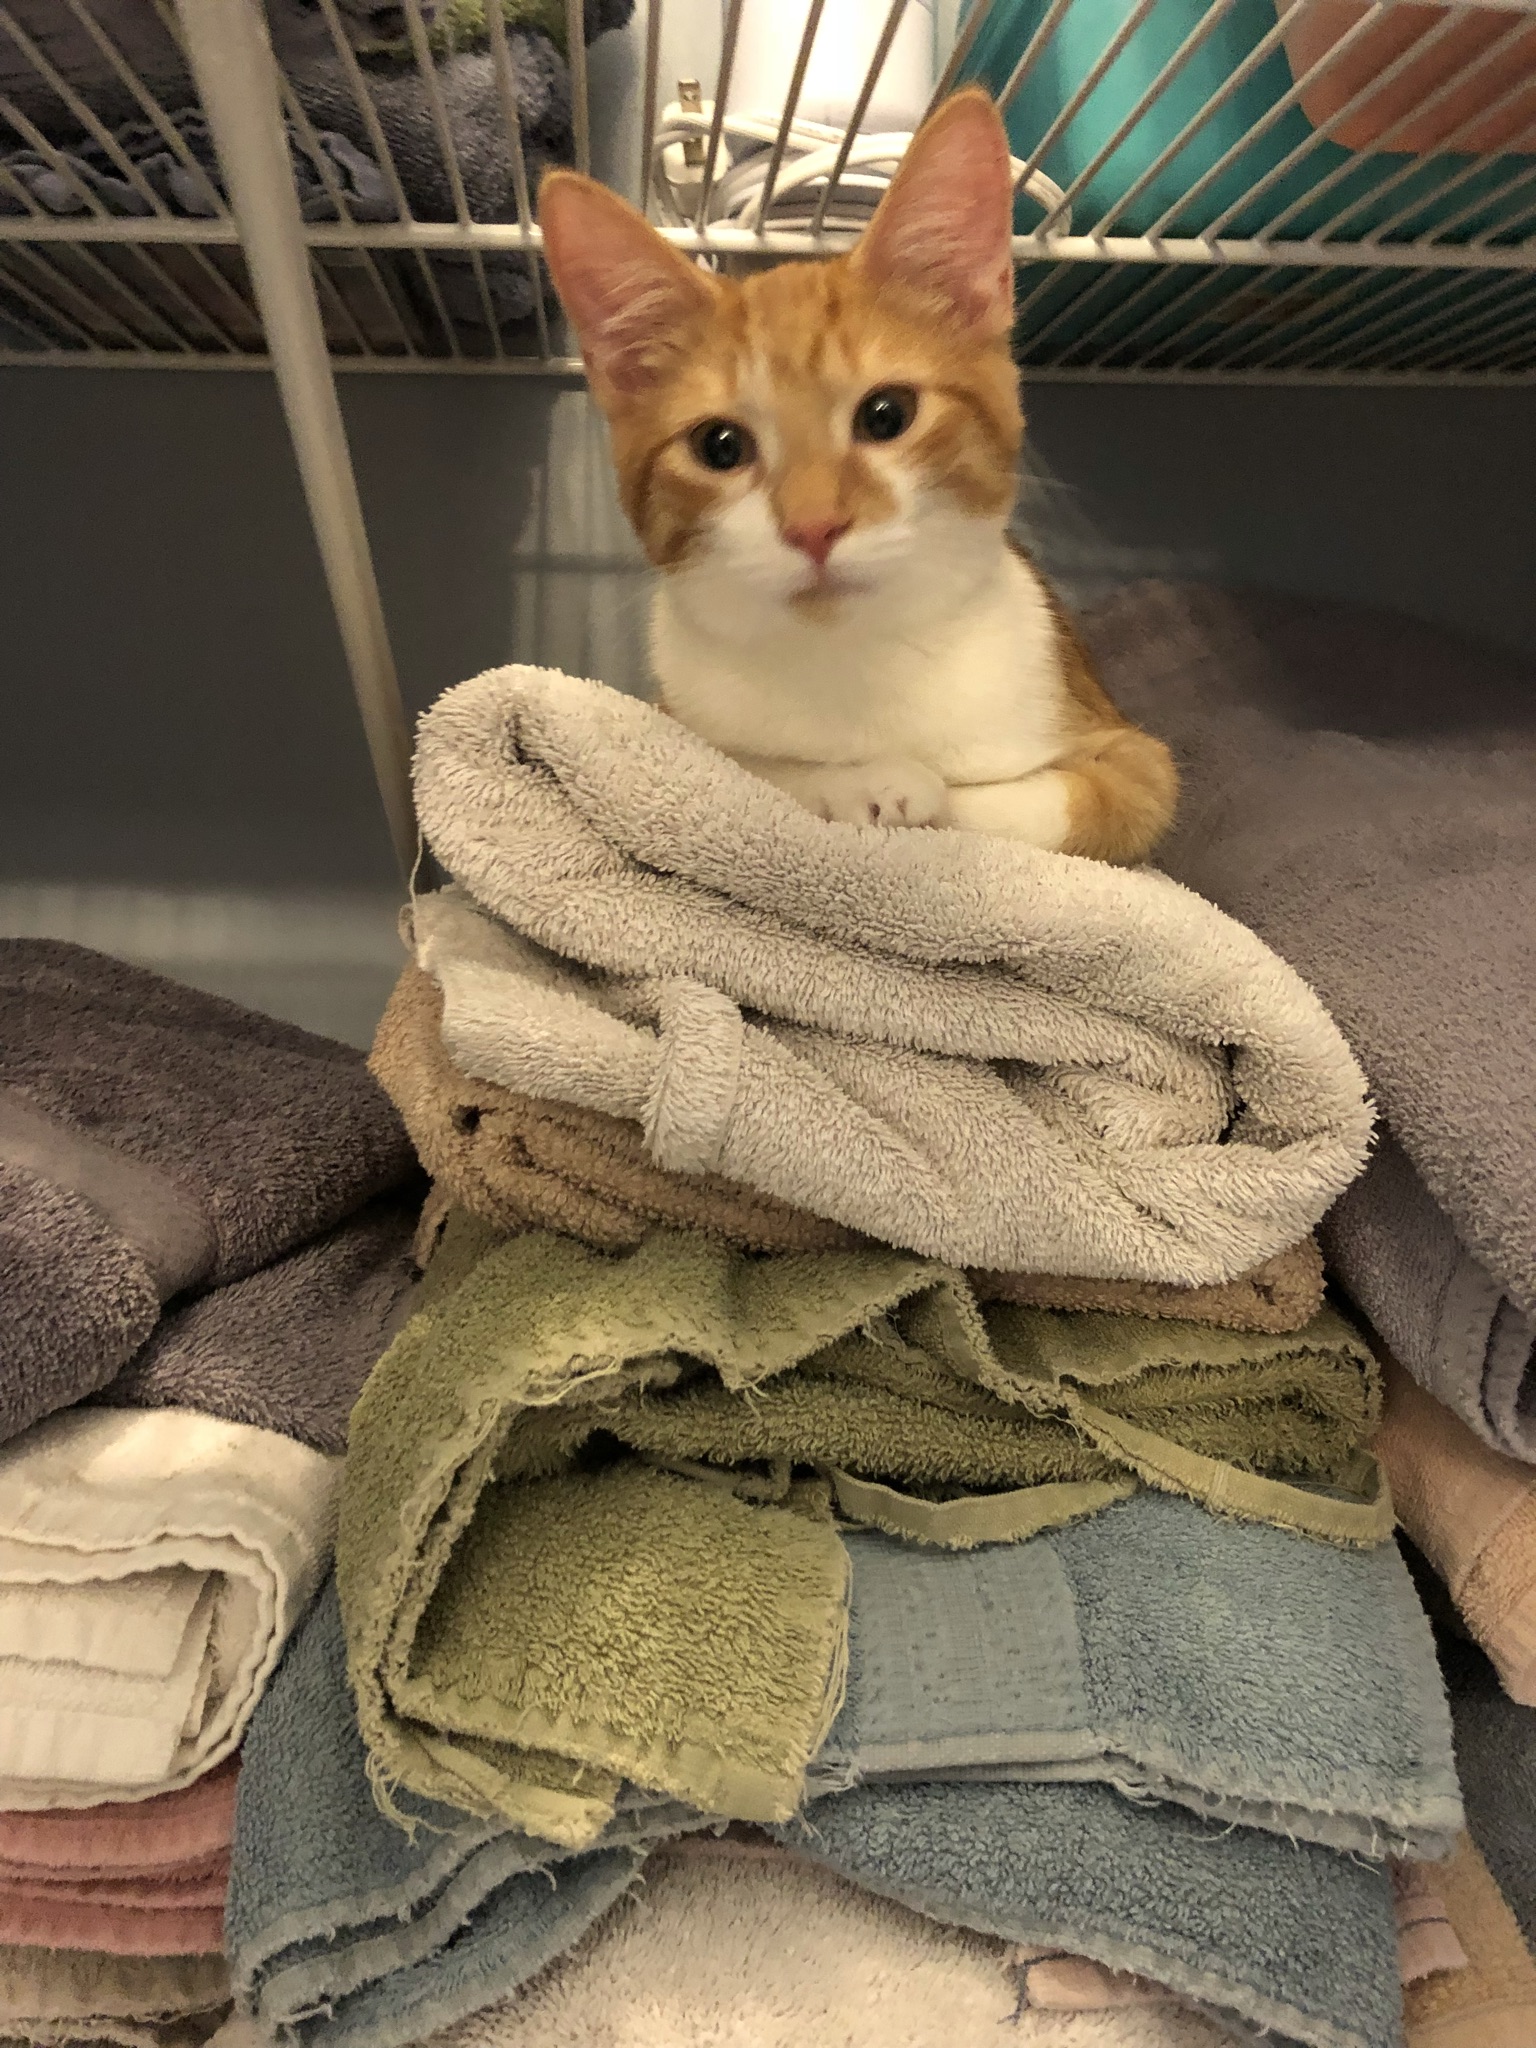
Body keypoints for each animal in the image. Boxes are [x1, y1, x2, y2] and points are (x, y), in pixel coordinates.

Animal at [536, 86, 1179, 856]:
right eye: (719, 446)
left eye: (886, 414)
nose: (814, 527)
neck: (858, 658)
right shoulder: (676, 718)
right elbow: (750, 770)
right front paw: (865, 784)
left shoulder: (1132, 754)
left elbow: (1055, 805)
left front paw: (920, 794)